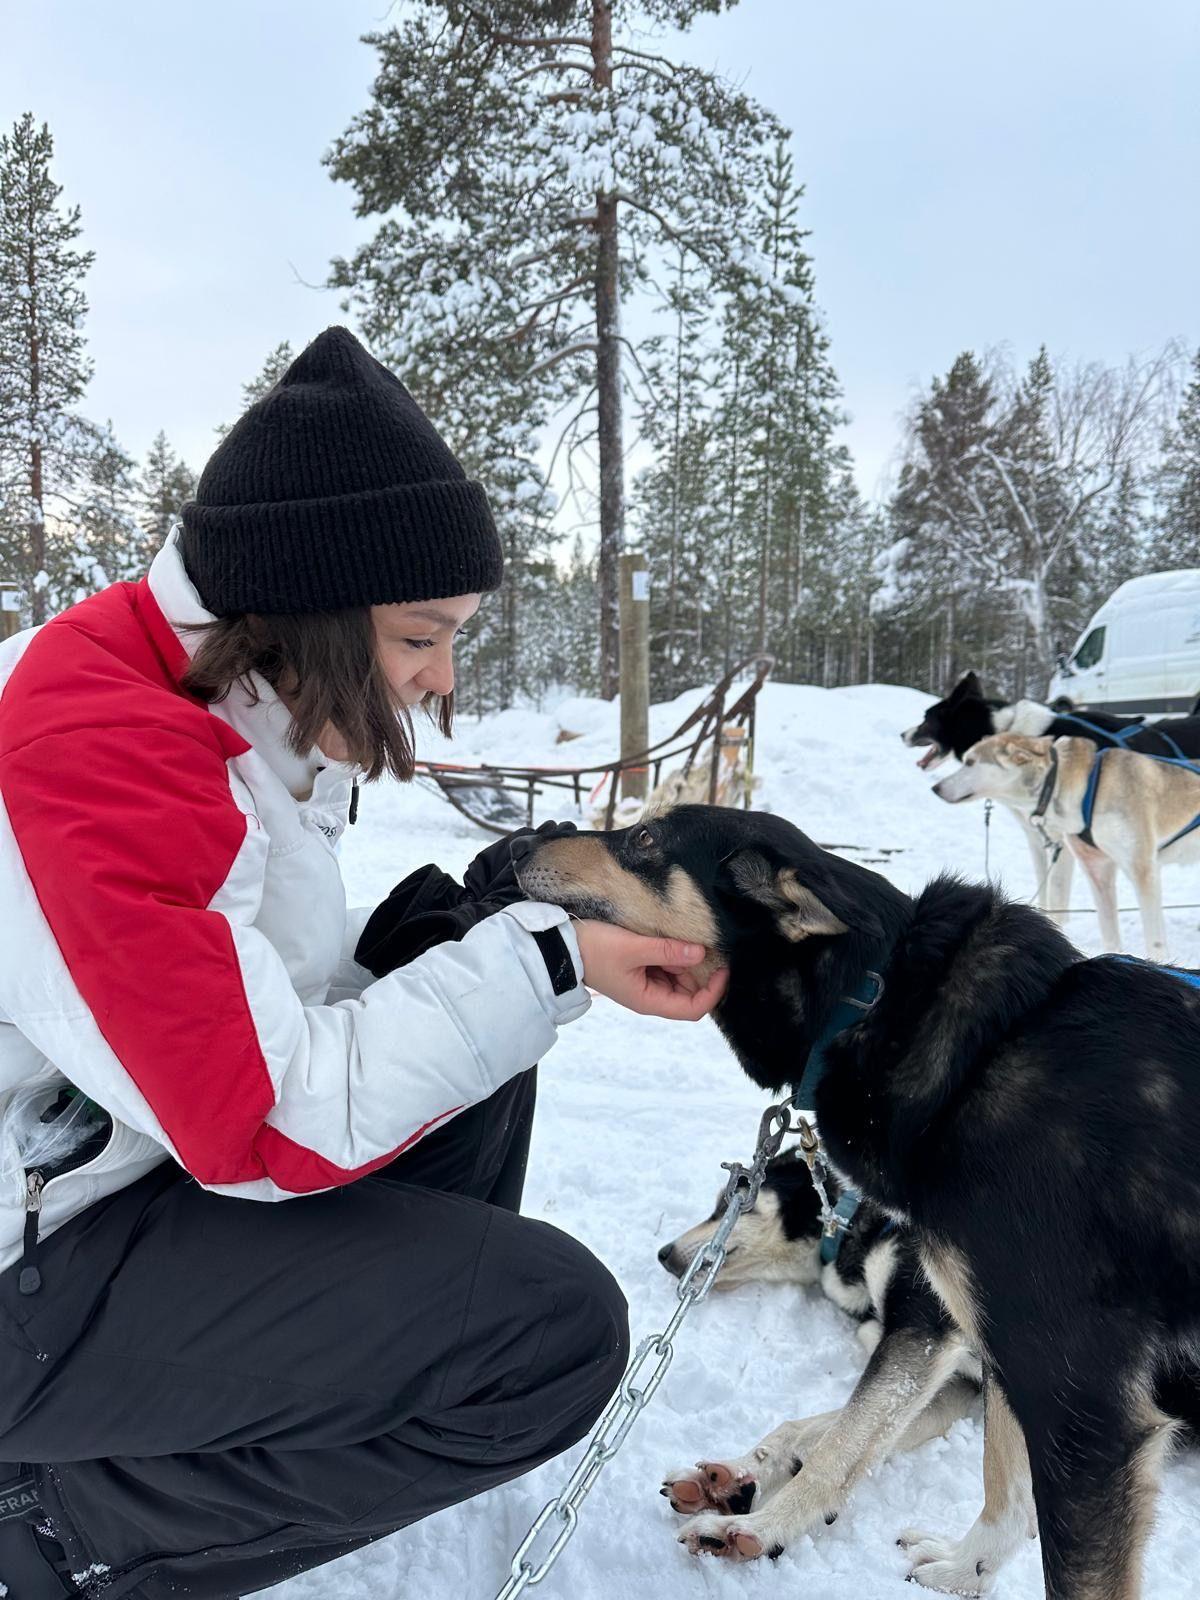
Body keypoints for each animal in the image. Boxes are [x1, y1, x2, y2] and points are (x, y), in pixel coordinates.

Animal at [659, 1152, 985, 1561]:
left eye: (727, 1203)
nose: (663, 1253)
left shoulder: (923, 1334)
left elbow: (831, 1456)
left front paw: (757, 1527)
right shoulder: (954, 1381)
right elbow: (804, 1430)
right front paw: (734, 1477)